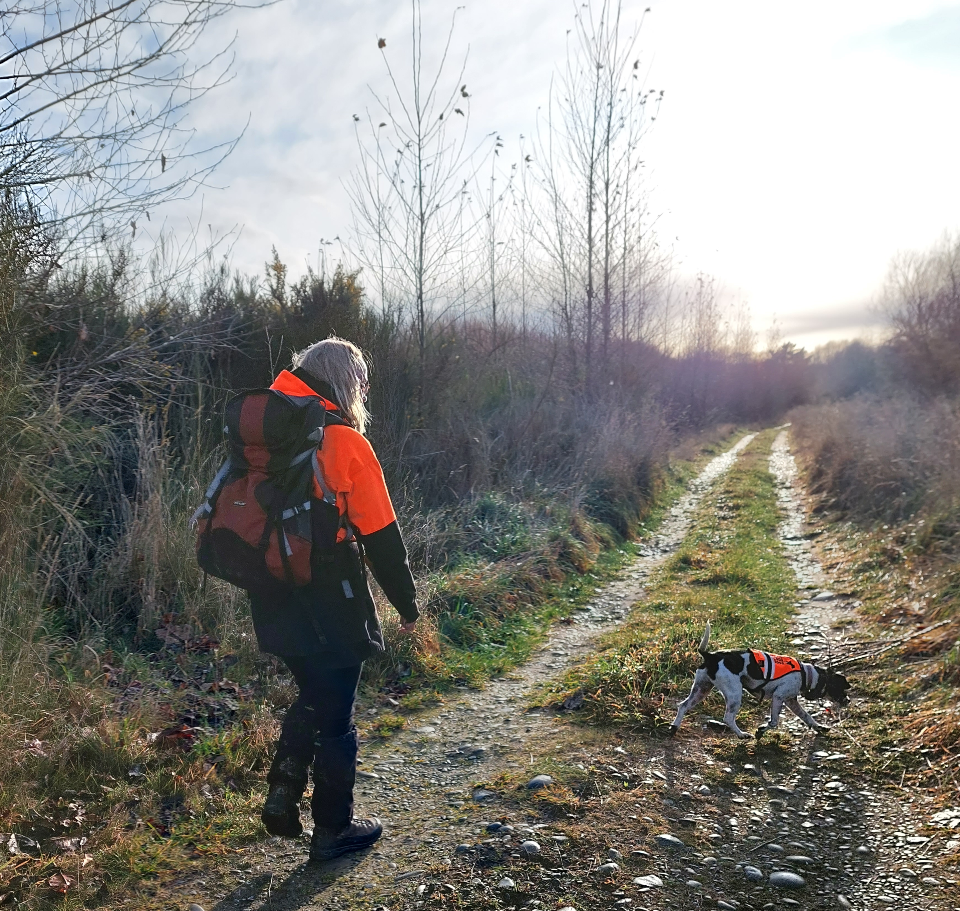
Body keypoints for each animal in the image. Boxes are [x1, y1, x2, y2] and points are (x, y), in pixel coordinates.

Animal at [672, 620, 852, 740]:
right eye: (841, 688)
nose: (848, 701)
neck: (806, 674)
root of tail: (710, 656)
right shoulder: (778, 698)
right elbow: (773, 722)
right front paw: (761, 730)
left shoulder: (791, 701)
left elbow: (807, 716)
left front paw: (819, 727)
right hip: (734, 694)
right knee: (728, 718)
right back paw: (742, 735)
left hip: (701, 689)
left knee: (683, 706)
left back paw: (674, 727)